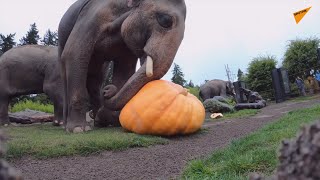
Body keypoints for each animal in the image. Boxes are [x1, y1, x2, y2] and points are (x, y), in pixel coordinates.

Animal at [58, 0, 186, 132]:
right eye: (165, 20)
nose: (107, 90)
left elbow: (124, 68)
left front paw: (110, 119)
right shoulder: (89, 19)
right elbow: (74, 53)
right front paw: (78, 129)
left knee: (97, 78)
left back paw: (98, 121)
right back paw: (66, 125)